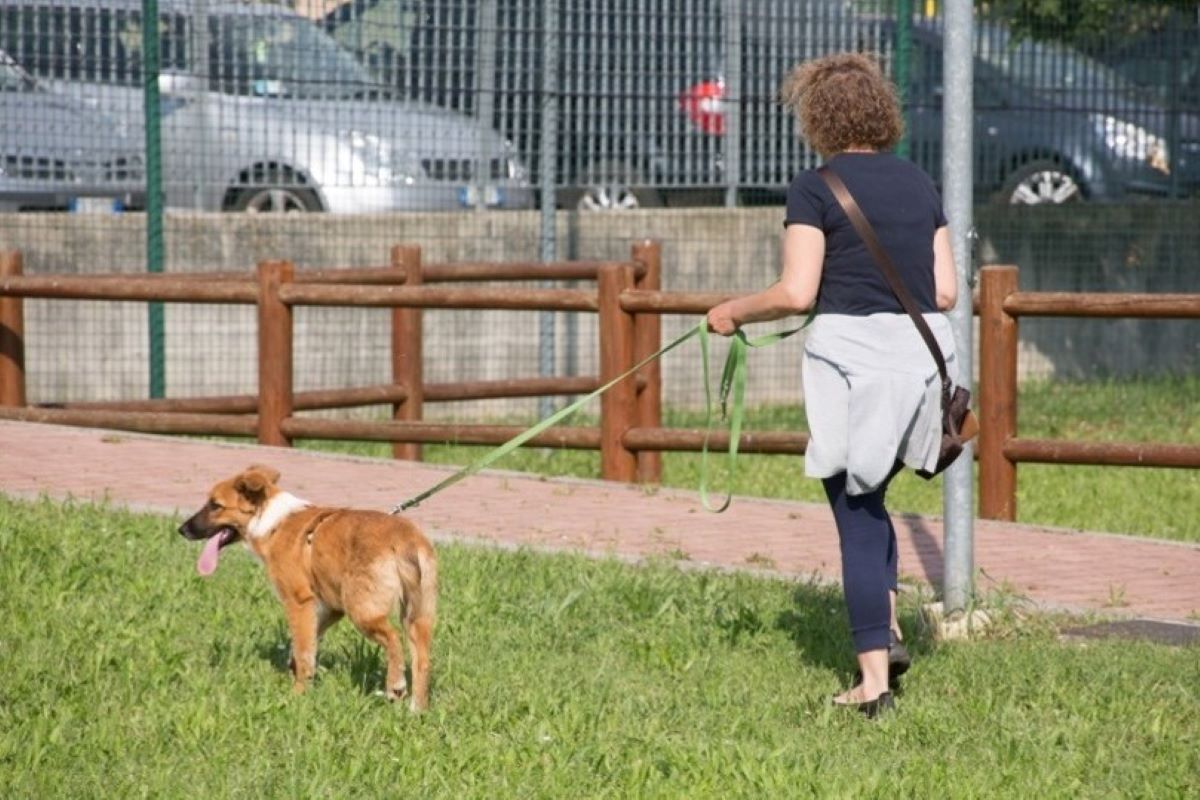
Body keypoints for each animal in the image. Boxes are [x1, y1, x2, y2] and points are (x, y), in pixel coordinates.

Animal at [175, 465, 439, 710]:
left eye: (215, 505)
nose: (181, 530)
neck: (270, 521)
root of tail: (404, 538)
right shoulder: (329, 607)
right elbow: (308, 646)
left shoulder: (298, 602)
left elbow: (303, 650)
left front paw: (298, 694)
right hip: (419, 615)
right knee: (422, 660)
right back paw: (417, 710)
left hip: (363, 610)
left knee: (393, 639)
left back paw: (395, 684)